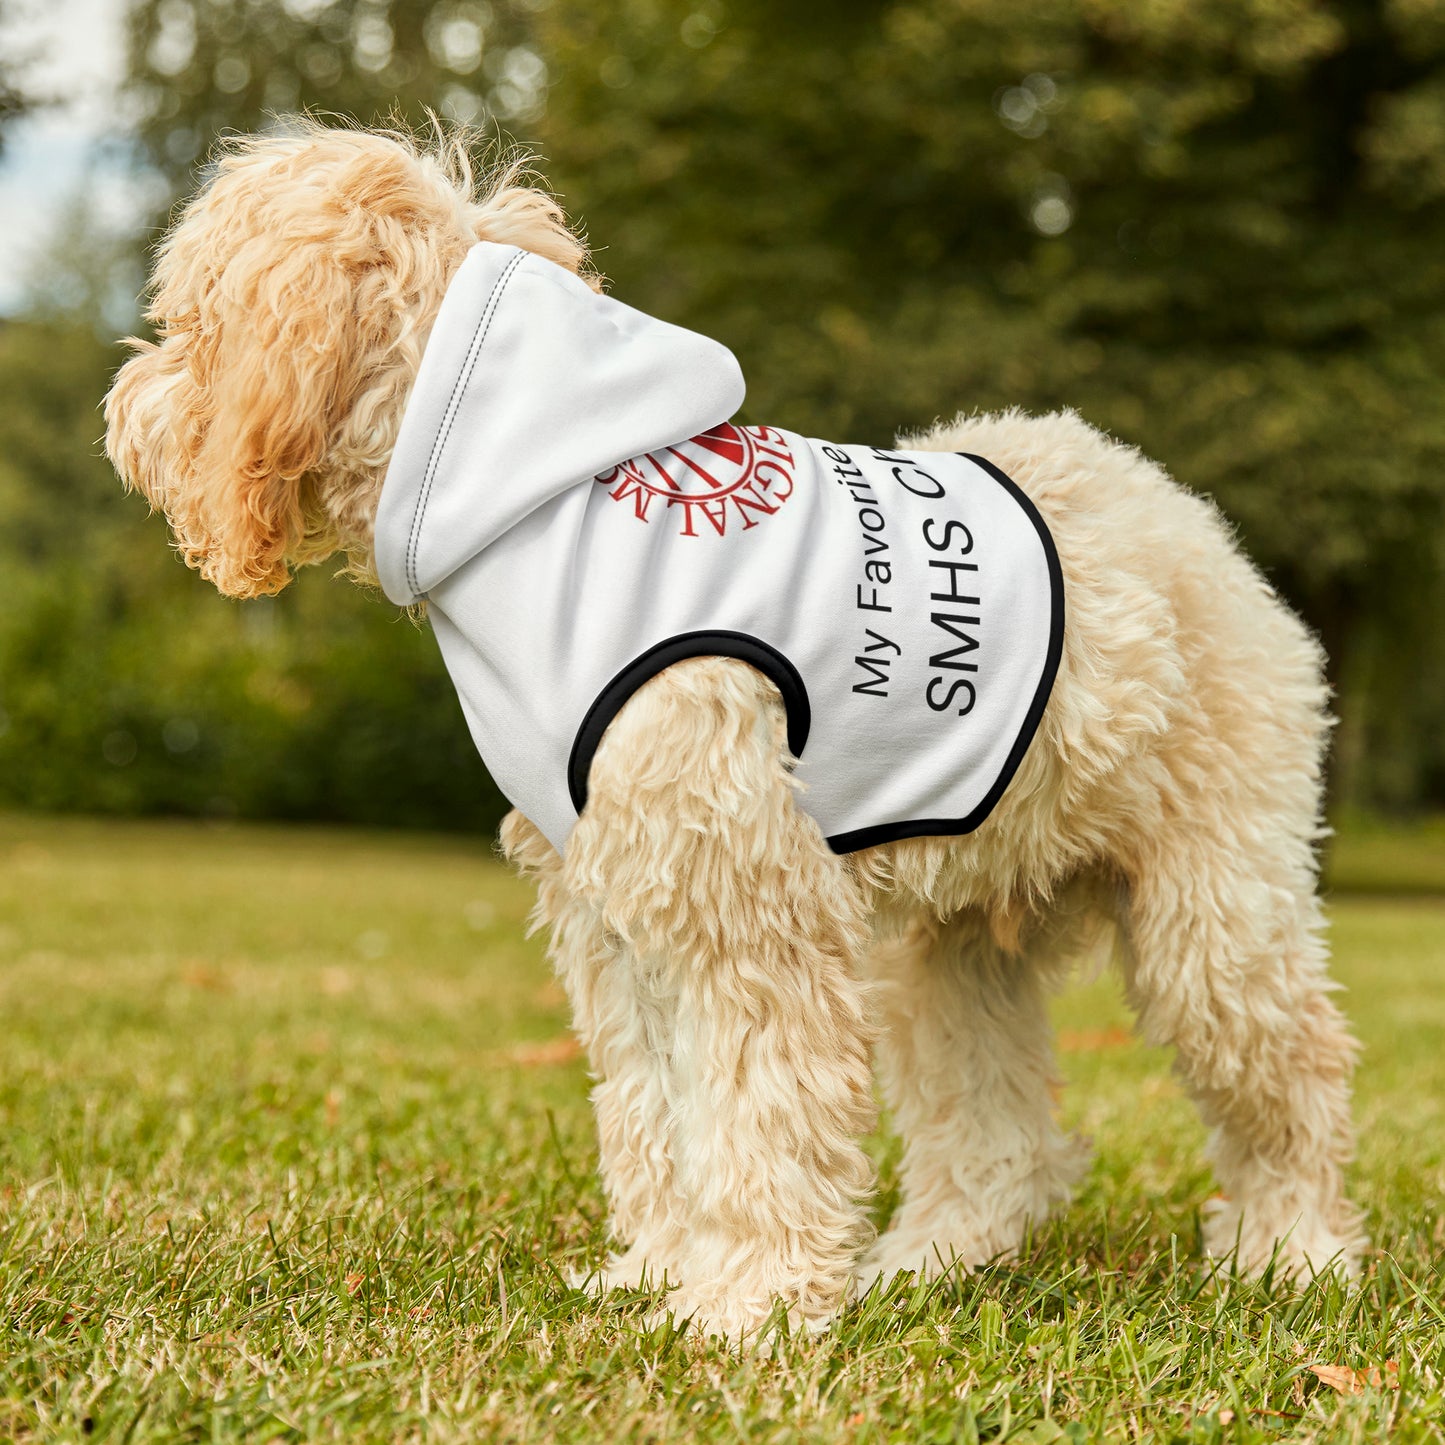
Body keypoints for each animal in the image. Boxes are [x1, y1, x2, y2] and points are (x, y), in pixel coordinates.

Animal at [104, 124, 1364, 1340]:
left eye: (190, 318)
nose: (124, 406)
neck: (530, 497)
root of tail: (1187, 520)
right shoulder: (616, 908)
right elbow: (655, 1110)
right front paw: (661, 1273)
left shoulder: (744, 902)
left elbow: (759, 1111)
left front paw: (747, 1305)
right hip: (949, 947)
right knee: (995, 1132)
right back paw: (929, 1260)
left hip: (1212, 914)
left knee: (1292, 1073)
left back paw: (1290, 1252)